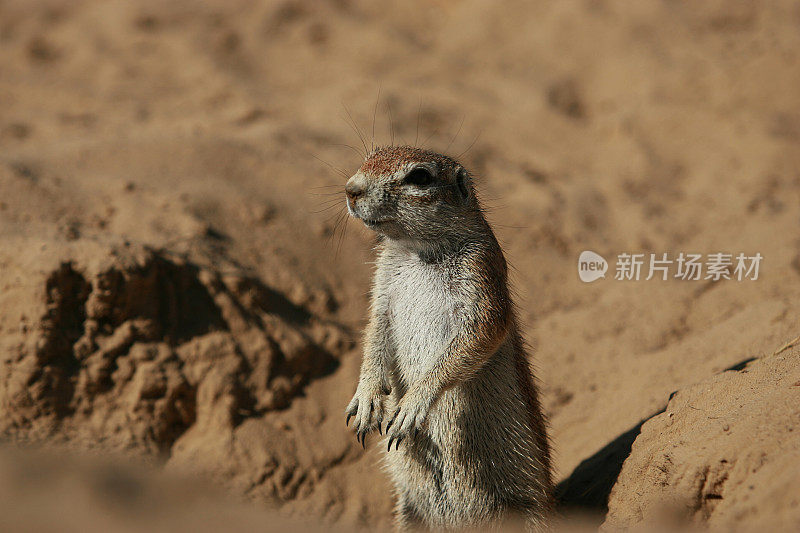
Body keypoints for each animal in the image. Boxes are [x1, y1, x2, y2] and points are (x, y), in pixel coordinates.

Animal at [340, 144, 552, 528]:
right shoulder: (382, 289)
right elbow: (374, 335)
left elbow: (478, 337)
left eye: (420, 177)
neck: (416, 250)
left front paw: (412, 405)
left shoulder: (482, 275)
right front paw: (366, 400)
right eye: (368, 158)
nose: (351, 189)